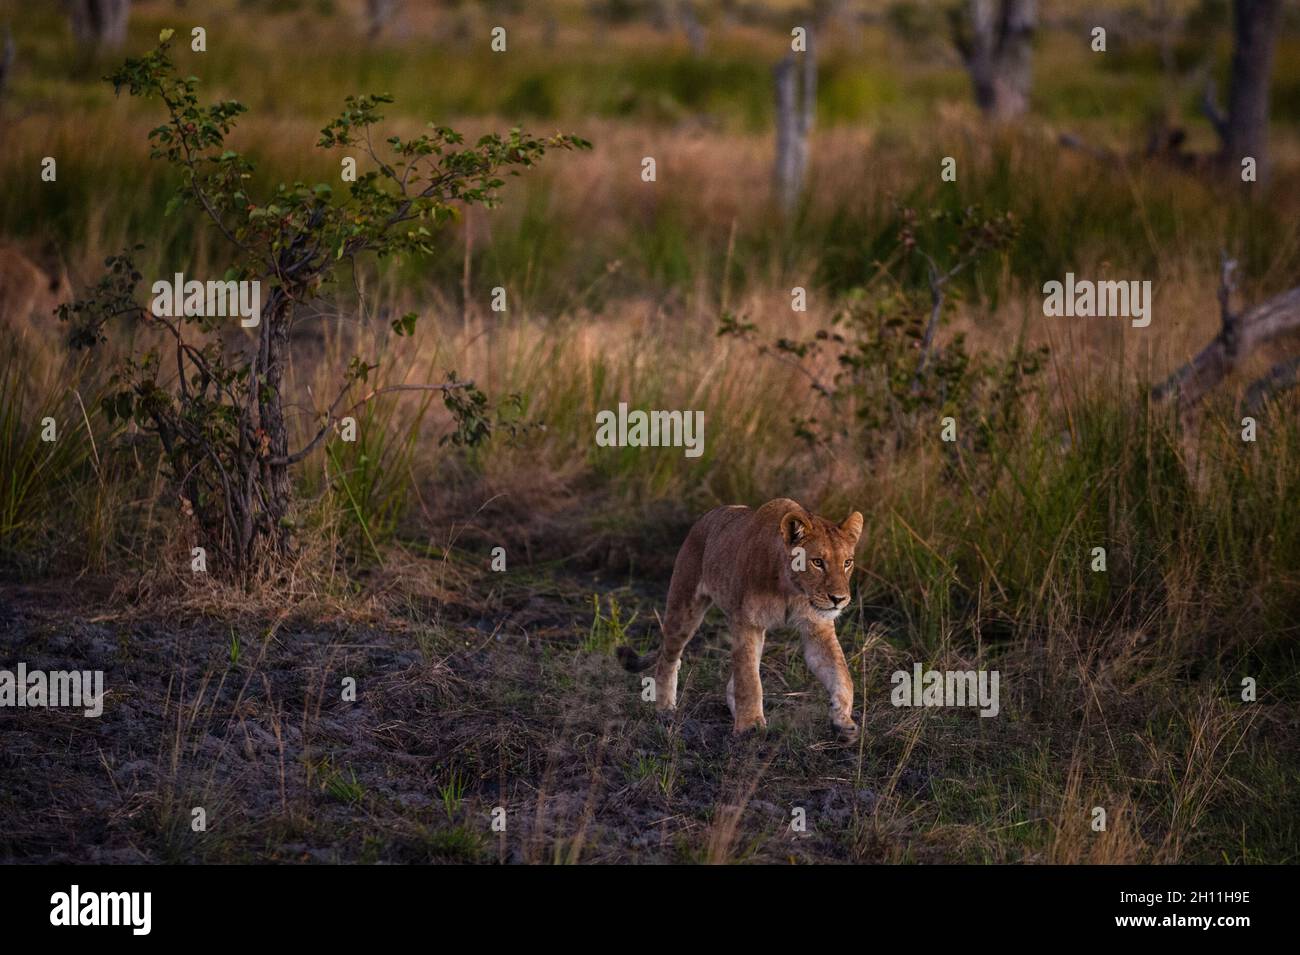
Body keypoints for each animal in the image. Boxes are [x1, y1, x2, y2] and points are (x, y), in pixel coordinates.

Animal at [618, 501, 863, 738]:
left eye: (848, 562)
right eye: (817, 562)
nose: (839, 599)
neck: (791, 589)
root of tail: (707, 516)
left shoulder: (817, 627)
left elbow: (841, 674)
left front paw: (843, 721)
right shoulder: (747, 624)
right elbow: (749, 680)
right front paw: (750, 726)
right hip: (684, 605)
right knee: (668, 658)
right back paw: (665, 710)